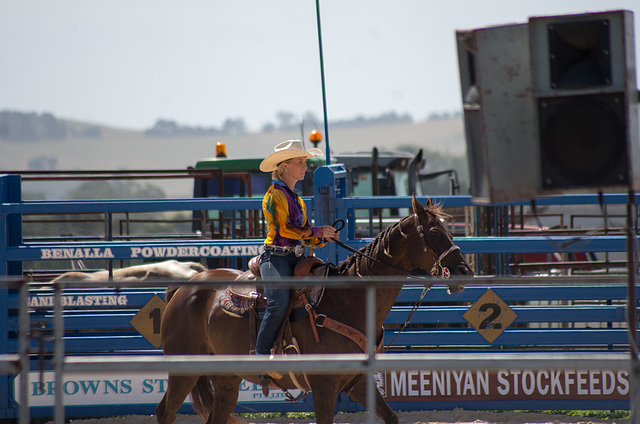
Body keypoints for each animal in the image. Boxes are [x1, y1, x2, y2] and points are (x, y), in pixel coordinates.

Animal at [158, 196, 472, 424]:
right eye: (435, 232)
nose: (465, 271)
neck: (350, 300)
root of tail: (183, 288)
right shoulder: (323, 387)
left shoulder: (357, 383)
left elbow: (392, 416)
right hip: (184, 370)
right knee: (165, 411)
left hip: (226, 379)